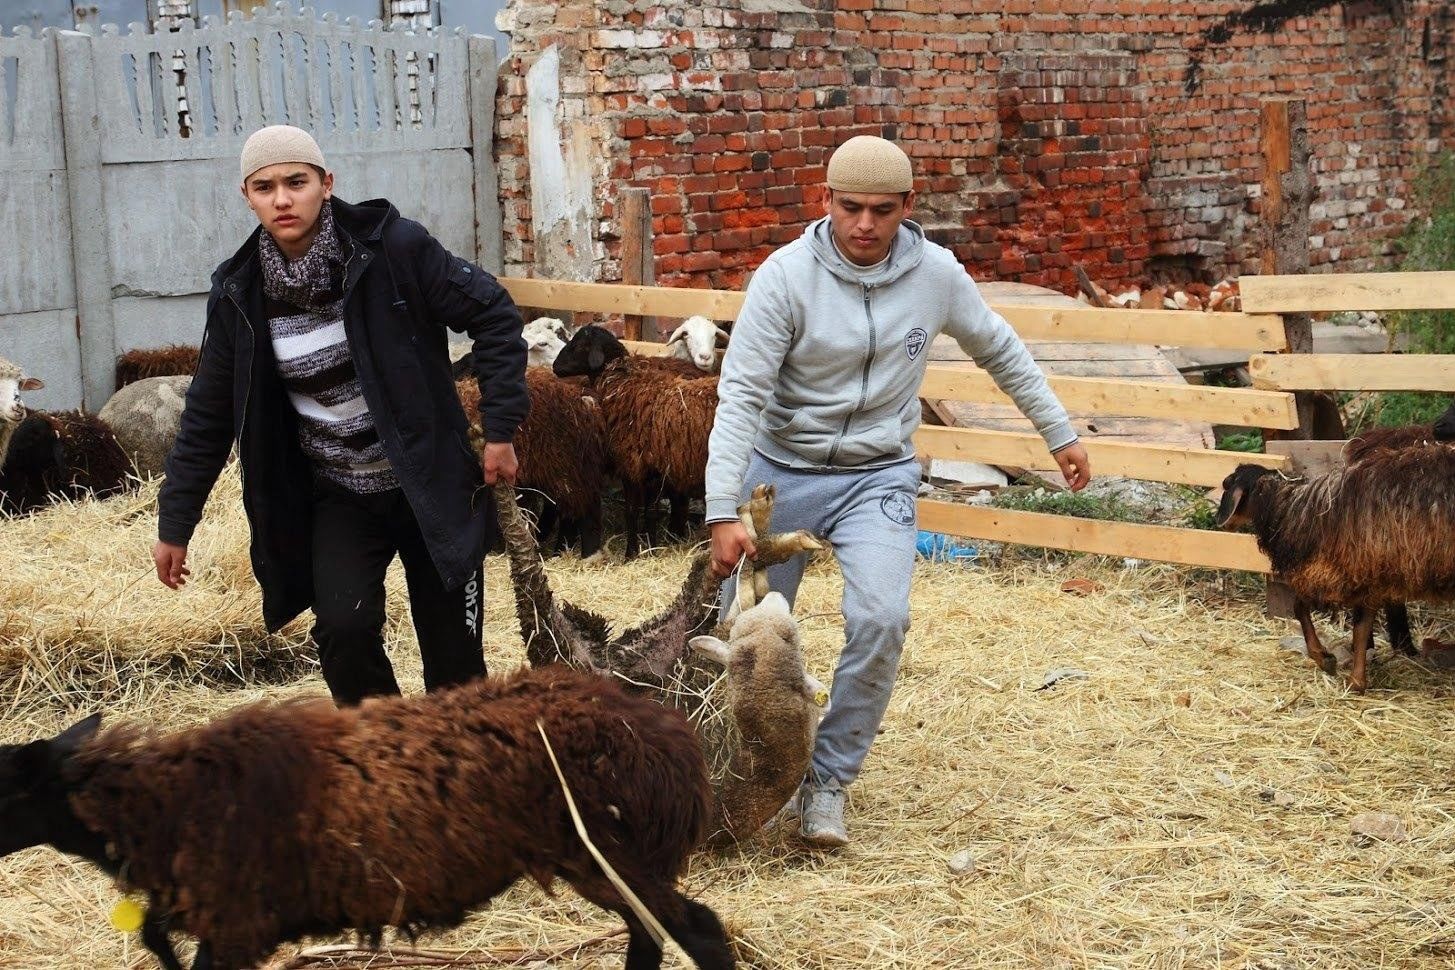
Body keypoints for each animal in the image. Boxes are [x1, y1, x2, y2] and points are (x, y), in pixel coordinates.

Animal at [0, 663, 733, 970]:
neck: (162, 804)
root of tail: (669, 736)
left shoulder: (235, 923)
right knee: (654, 936)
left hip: (605, 852)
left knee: (698, 931)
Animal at [552, 325, 718, 558]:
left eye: (579, 345)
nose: (554, 367)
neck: (622, 384)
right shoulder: (653, 471)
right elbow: (650, 513)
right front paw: (651, 548)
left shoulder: (632, 466)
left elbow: (632, 511)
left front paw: (631, 553)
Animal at [1216, 450, 1455, 695]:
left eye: (1227, 483)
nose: (1220, 522)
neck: (1298, 510)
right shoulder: (1368, 575)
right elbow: (1361, 629)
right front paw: (1357, 680)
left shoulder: (1338, 574)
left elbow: (1302, 609)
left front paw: (1326, 660)